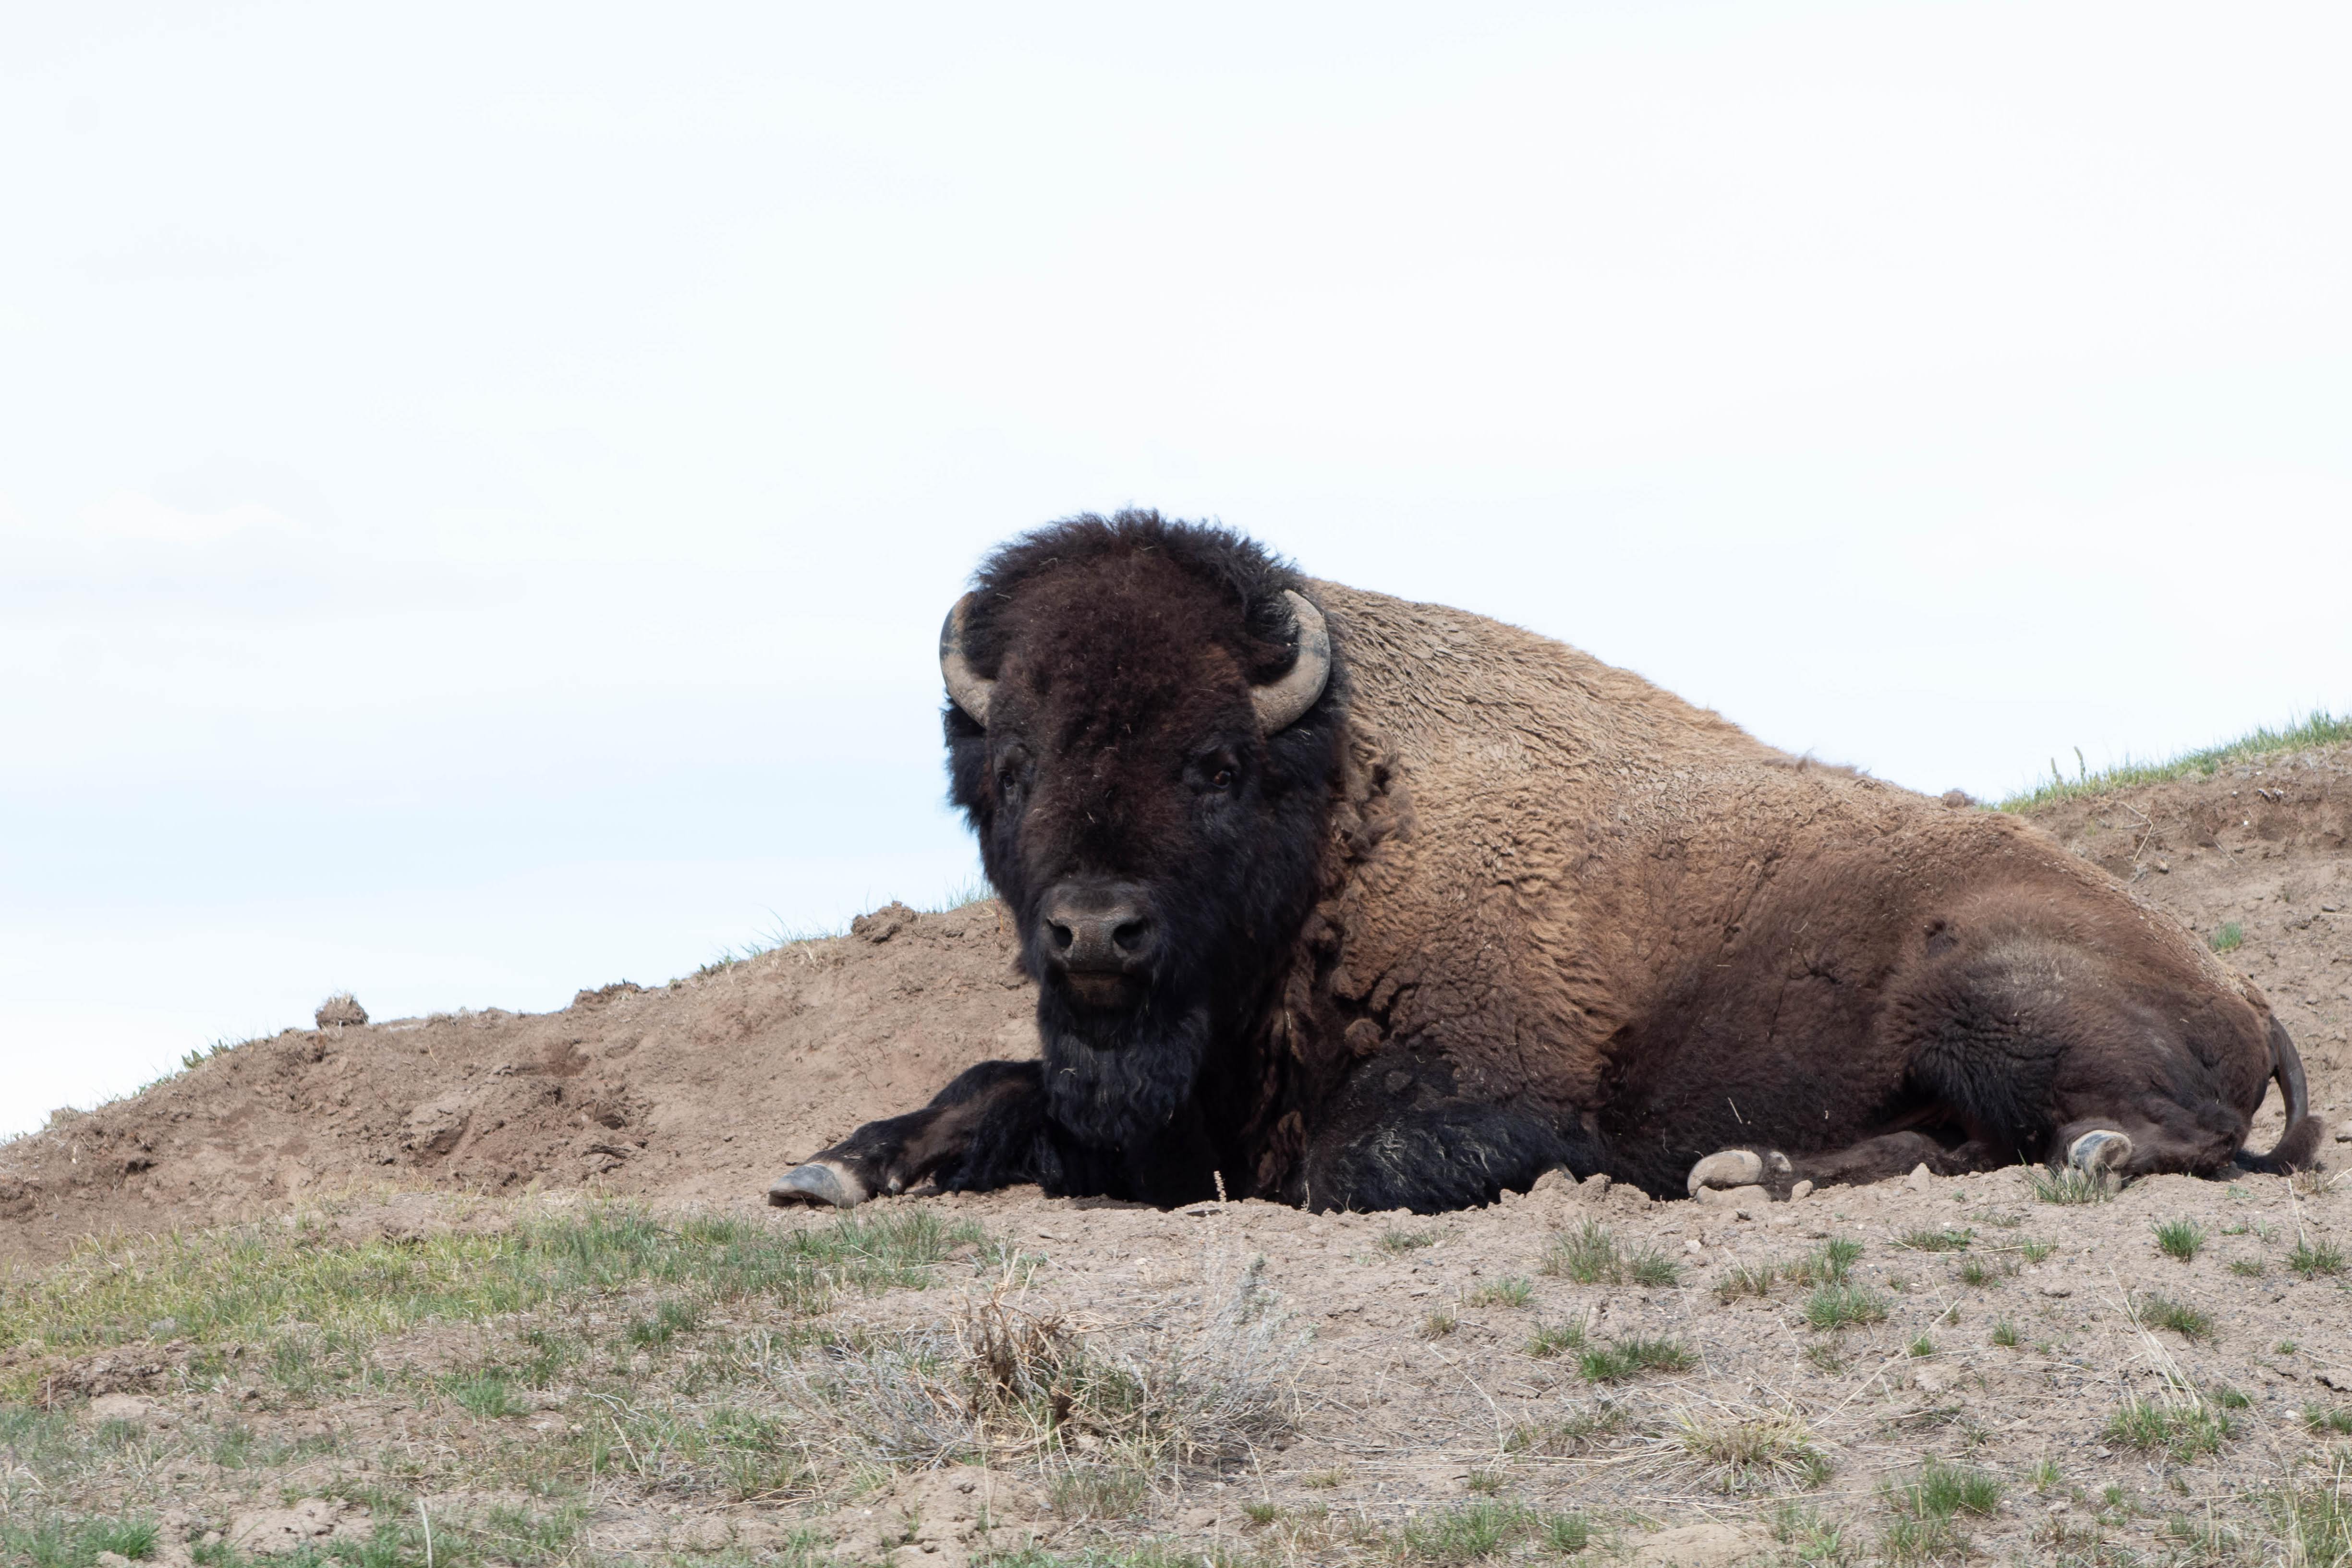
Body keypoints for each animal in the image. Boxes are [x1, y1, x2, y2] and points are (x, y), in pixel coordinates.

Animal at [766, 515, 2314, 1213]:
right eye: (1012, 765)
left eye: (1211, 764)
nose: (1093, 932)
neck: (1341, 804)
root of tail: (2244, 994)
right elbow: (994, 1085)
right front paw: (830, 1166)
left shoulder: (1488, 1098)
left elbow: (1328, 1168)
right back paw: (1746, 1168)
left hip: (1985, 991)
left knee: (2131, 1133)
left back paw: (2084, 1151)